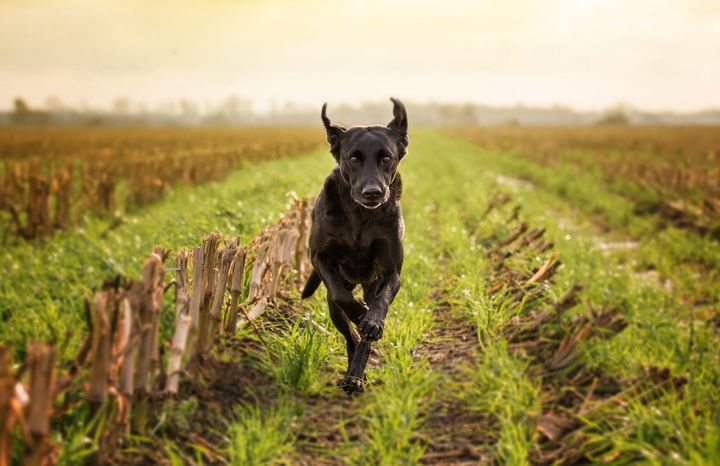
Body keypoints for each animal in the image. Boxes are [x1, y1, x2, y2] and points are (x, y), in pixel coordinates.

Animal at [300, 98, 408, 394]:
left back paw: (356, 374)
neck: (360, 216)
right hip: (332, 303)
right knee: (349, 334)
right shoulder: (320, 257)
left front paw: (371, 320)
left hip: (372, 284)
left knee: (365, 336)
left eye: (386, 157)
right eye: (353, 158)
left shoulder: (391, 272)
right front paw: (359, 313)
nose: (372, 192)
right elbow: (342, 296)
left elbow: (381, 302)